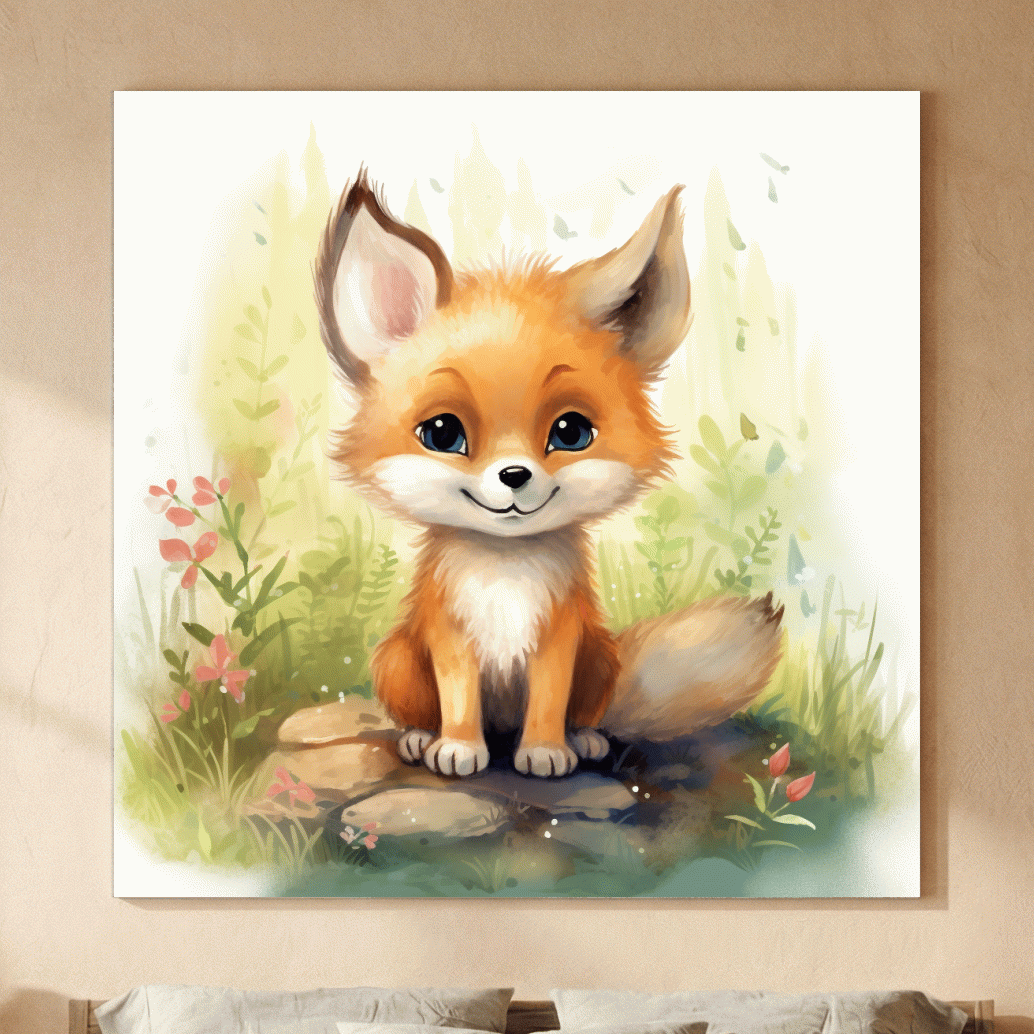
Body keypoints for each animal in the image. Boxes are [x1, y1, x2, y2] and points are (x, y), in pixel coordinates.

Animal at [313, 170, 784, 779]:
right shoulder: (450, 635)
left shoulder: (561, 636)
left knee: (587, 712)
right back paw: (421, 738)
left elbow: (549, 699)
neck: (505, 572)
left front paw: (545, 750)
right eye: (442, 434)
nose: (514, 475)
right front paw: (459, 747)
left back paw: (583, 740)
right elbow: (458, 698)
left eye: (570, 432)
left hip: (600, 658)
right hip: (396, 658)